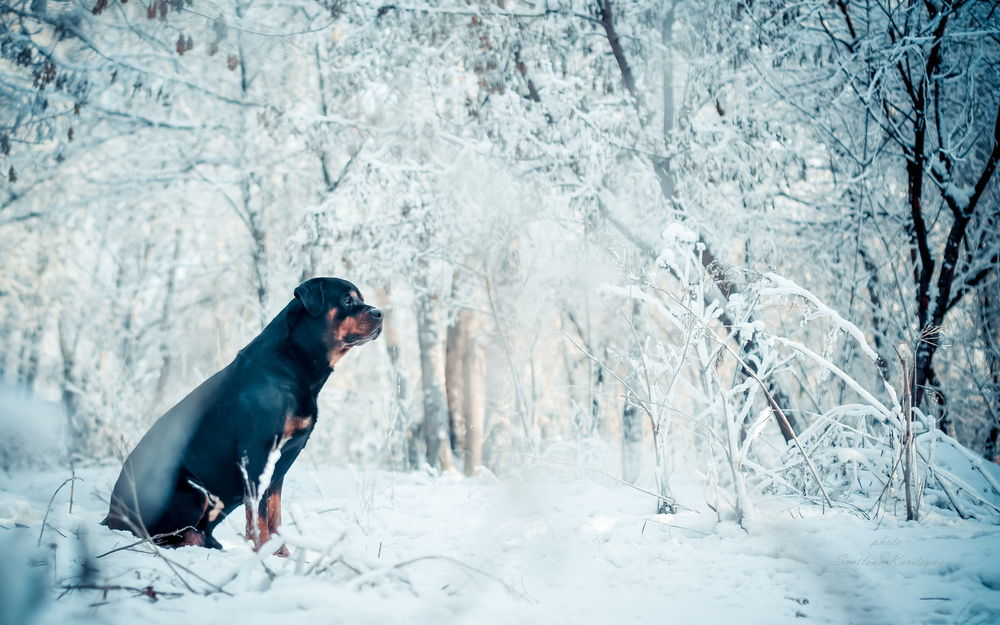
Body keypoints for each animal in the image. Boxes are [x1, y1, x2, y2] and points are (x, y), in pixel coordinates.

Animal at [102, 278, 382, 552]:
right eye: (347, 300)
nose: (379, 313)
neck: (295, 361)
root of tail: (110, 517)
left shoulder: (281, 462)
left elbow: (274, 514)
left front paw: (280, 555)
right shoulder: (259, 453)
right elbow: (259, 517)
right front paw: (263, 552)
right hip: (192, 491)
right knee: (159, 537)